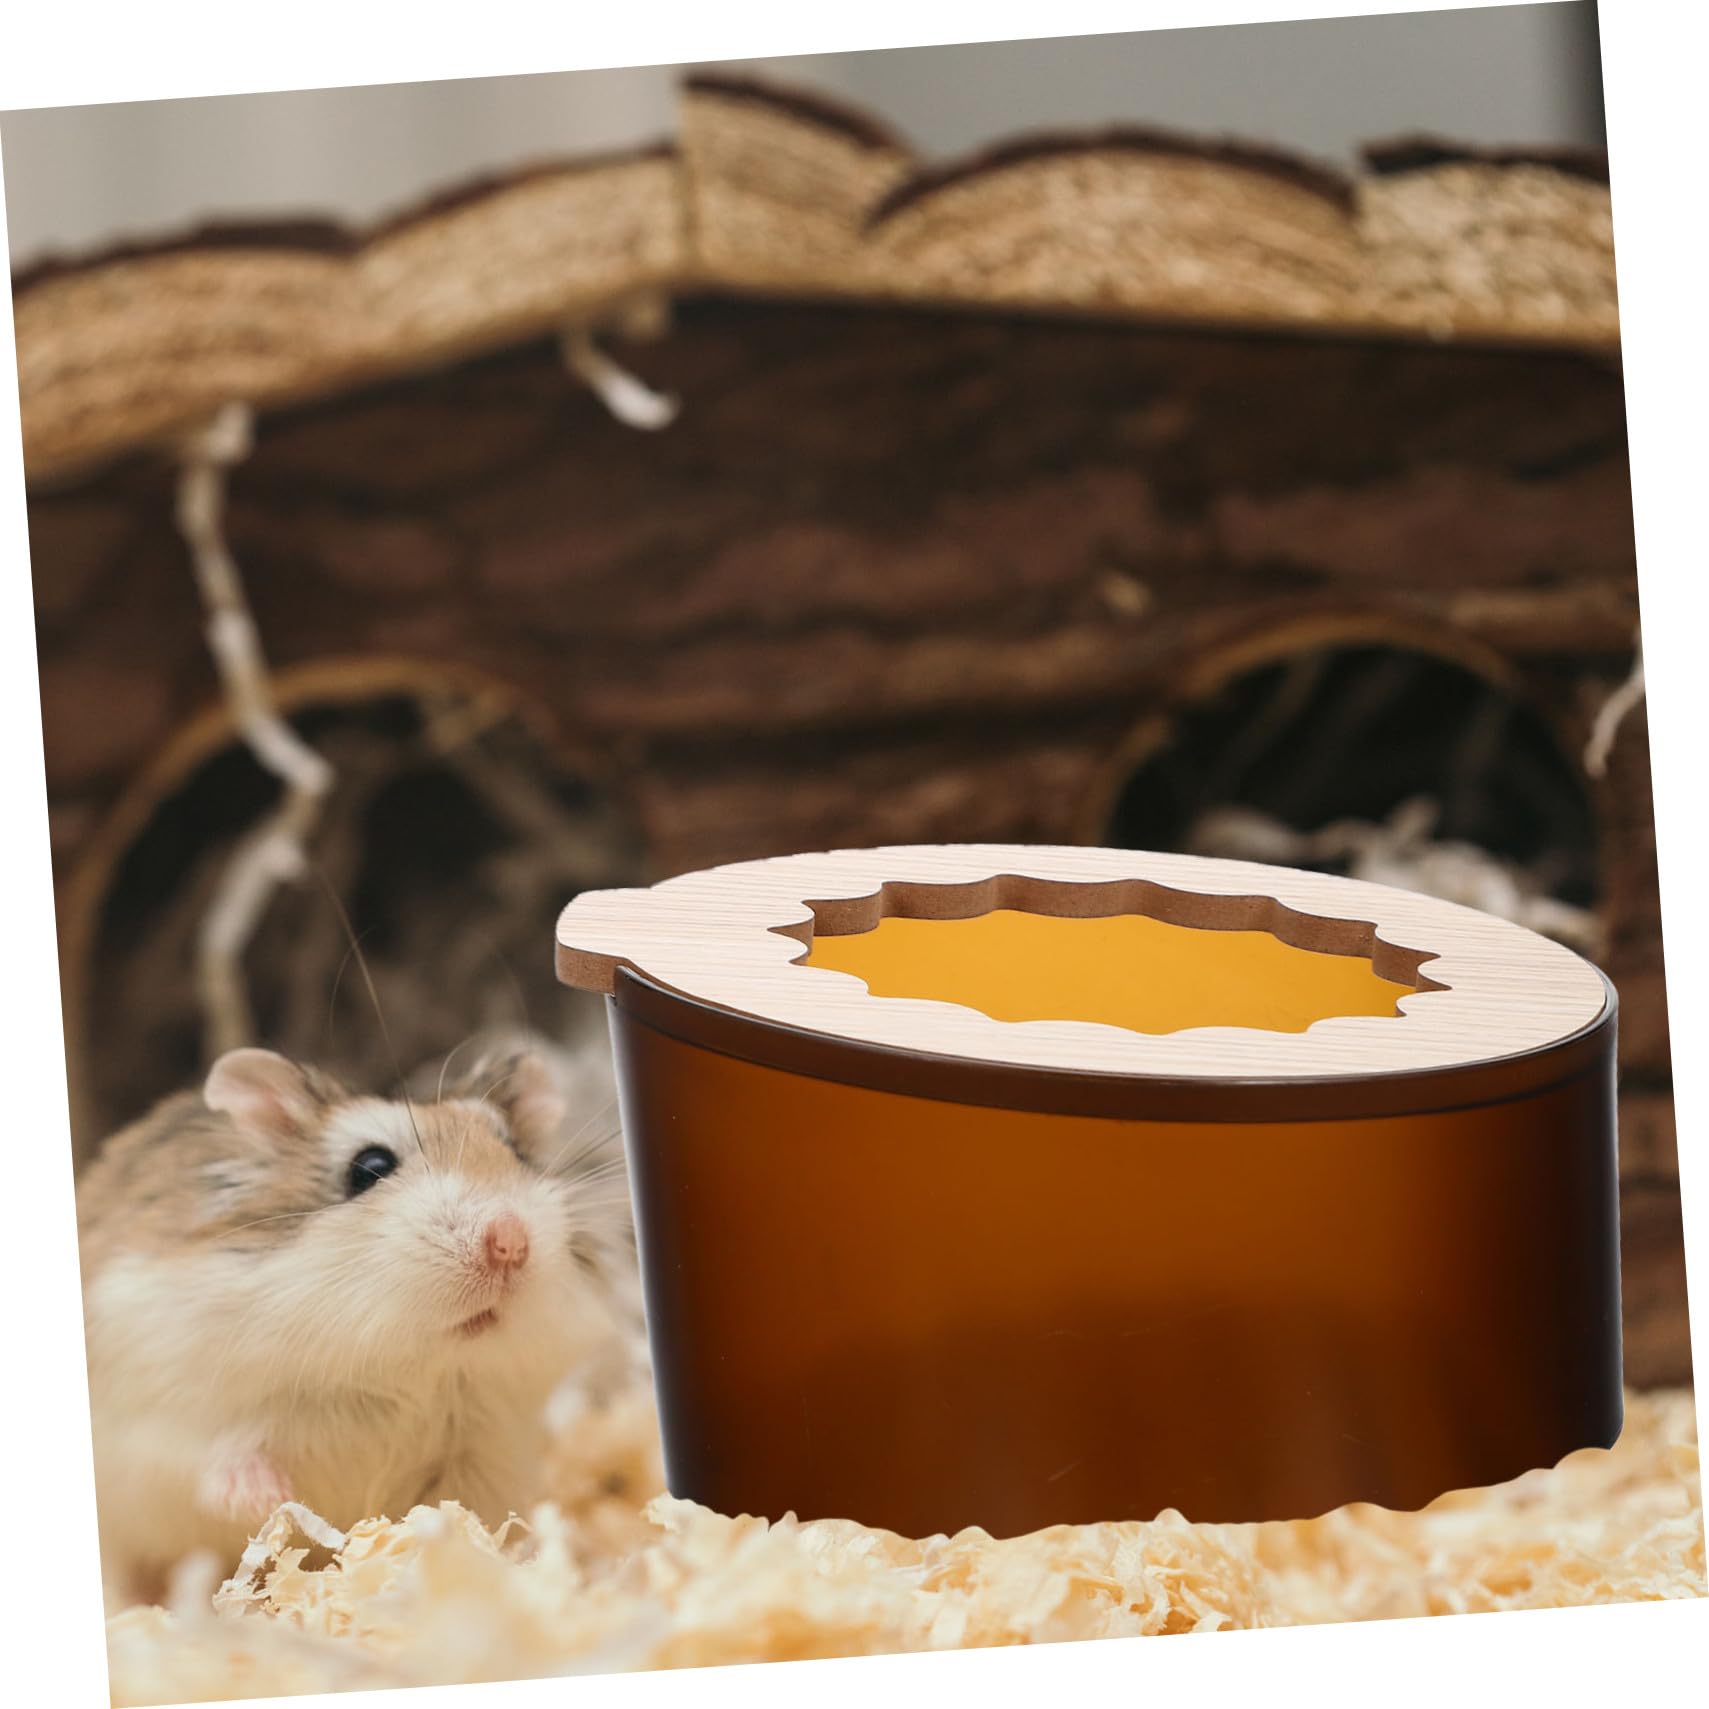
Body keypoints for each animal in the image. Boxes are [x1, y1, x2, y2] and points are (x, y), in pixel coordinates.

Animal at [76, 1042, 631, 1606]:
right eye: (369, 1167)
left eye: (515, 1153)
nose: (510, 1241)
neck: (403, 1369)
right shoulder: (163, 1418)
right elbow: (216, 1461)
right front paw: (271, 1499)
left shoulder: (485, 1454)